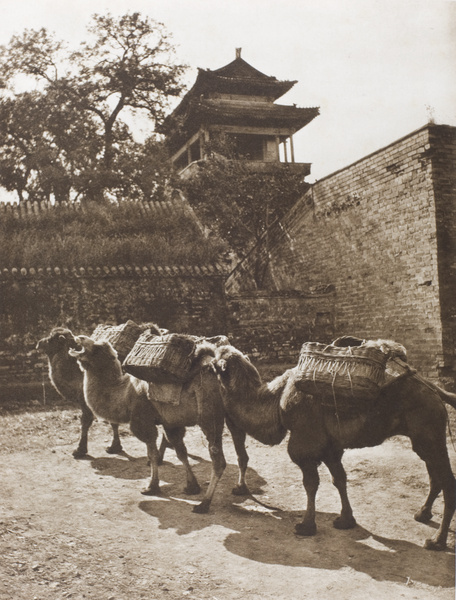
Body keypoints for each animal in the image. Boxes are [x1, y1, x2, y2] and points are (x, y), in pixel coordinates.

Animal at [212, 344, 456, 552]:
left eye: (215, 359)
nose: (208, 359)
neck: (277, 400)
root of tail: (435, 391)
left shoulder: (305, 444)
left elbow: (311, 484)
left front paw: (306, 526)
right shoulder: (330, 447)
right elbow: (339, 479)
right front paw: (345, 520)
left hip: (429, 430)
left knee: (448, 481)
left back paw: (436, 541)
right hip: (423, 438)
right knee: (435, 474)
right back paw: (422, 514)